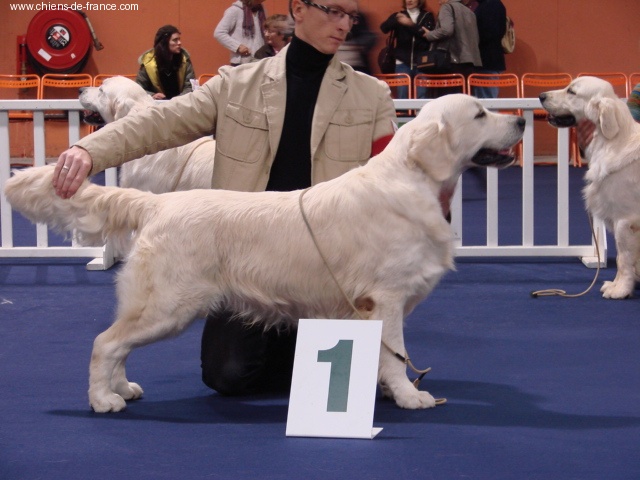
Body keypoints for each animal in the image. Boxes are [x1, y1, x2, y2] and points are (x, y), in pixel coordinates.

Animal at [5, 94, 525, 412]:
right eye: (480, 115)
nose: (521, 118)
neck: (413, 181)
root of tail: (159, 203)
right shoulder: (385, 298)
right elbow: (396, 355)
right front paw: (409, 397)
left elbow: (385, 355)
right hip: (168, 306)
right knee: (105, 342)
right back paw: (102, 399)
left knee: (118, 345)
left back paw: (121, 388)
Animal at [540, 76, 640, 299]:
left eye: (572, 91)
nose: (541, 95)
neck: (610, 142)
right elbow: (624, 258)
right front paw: (618, 285)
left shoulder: (625, 220)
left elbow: (623, 259)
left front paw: (620, 289)